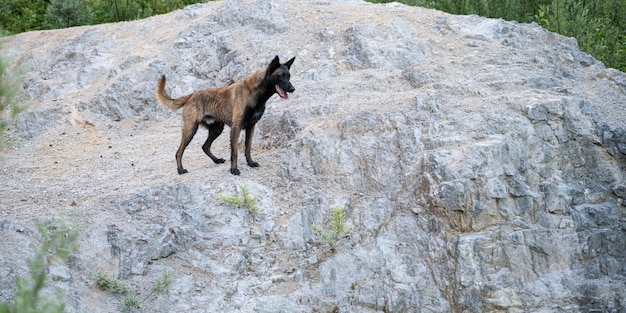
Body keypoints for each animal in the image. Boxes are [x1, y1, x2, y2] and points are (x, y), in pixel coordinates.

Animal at [155, 56, 294, 176]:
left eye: (289, 76)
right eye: (281, 76)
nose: (293, 88)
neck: (253, 93)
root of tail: (192, 95)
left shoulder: (251, 127)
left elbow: (248, 148)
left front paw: (250, 163)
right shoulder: (236, 127)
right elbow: (235, 152)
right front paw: (234, 170)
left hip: (216, 129)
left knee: (205, 146)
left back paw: (216, 160)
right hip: (190, 130)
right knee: (179, 152)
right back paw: (180, 170)